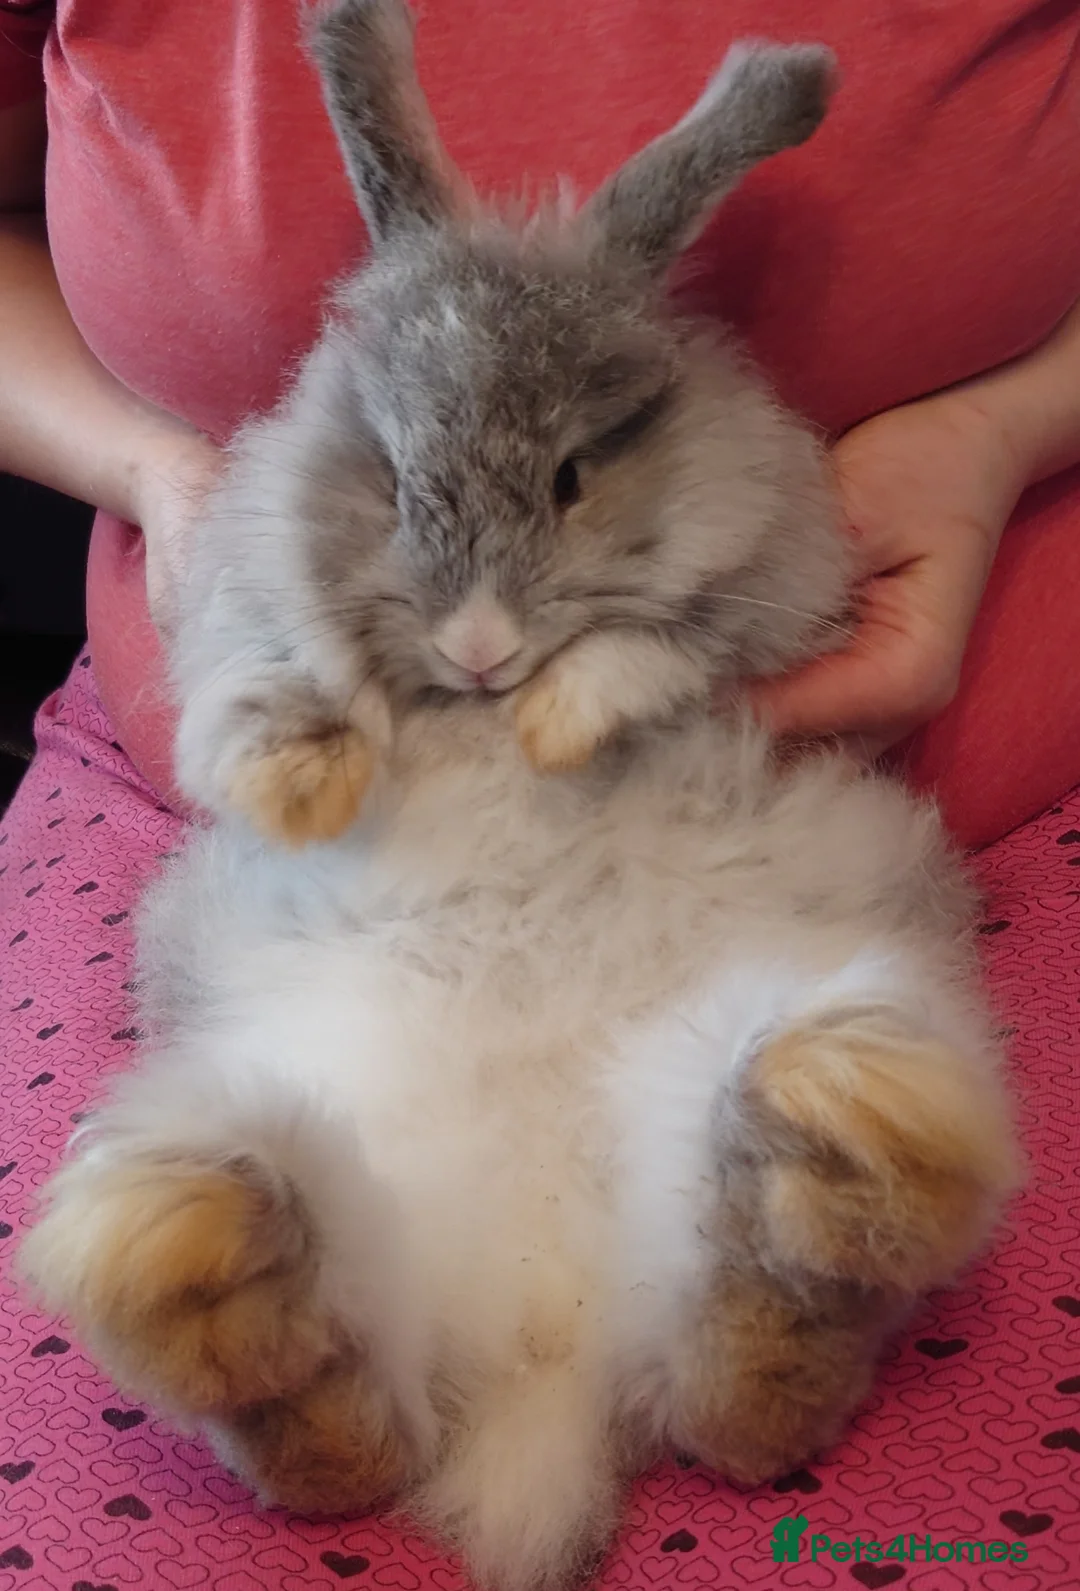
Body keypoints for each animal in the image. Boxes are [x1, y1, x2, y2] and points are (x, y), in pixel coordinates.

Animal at [20, 3, 1021, 1588]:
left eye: (569, 476)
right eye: (386, 475)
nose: (482, 648)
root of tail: (541, 1363)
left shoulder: (772, 574)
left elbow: (657, 646)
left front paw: (559, 724)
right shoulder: (249, 593)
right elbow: (263, 676)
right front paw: (310, 777)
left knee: (752, 1385)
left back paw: (829, 1135)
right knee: (347, 1427)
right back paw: (216, 1256)